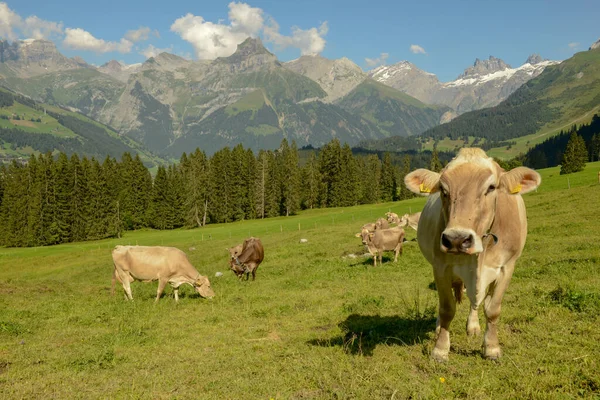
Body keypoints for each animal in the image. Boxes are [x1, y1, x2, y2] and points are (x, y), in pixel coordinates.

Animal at [406, 149, 540, 362]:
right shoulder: (441, 267)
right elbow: (447, 309)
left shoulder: (506, 267)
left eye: (491, 187)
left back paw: (473, 326)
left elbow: (492, 309)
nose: (456, 239)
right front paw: (440, 349)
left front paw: (491, 347)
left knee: (475, 299)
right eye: (443, 189)